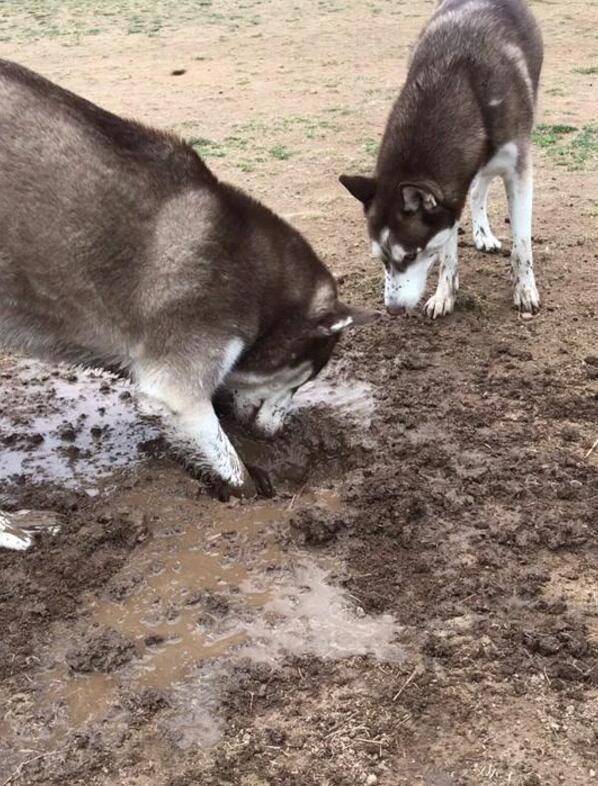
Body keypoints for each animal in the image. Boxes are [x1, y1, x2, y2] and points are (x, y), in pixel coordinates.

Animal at [0, 58, 370, 496]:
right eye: (301, 379)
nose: (275, 433)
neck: (257, 279)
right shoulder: (181, 373)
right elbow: (228, 461)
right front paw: (248, 490)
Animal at [342, 1, 544, 318]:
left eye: (409, 256)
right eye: (381, 258)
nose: (393, 309)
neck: (462, 86)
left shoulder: (518, 169)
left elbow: (521, 244)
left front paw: (525, 290)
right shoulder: (450, 196)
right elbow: (447, 252)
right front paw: (445, 294)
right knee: (476, 190)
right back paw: (482, 234)